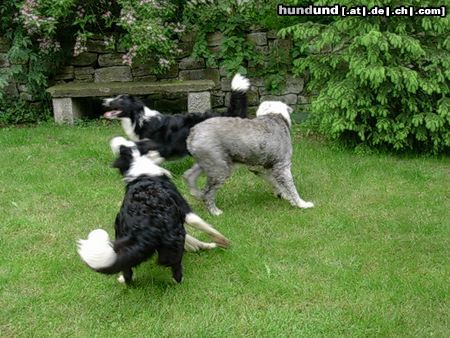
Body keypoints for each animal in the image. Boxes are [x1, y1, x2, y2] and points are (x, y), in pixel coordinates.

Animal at [183, 101, 312, 217]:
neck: (274, 116)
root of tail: (193, 133)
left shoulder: (262, 168)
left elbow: (276, 182)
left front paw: (284, 196)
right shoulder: (283, 166)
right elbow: (291, 187)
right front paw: (301, 204)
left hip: (208, 162)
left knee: (189, 175)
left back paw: (196, 193)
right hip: (220, 168)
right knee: (207, 192)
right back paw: (215, 212)